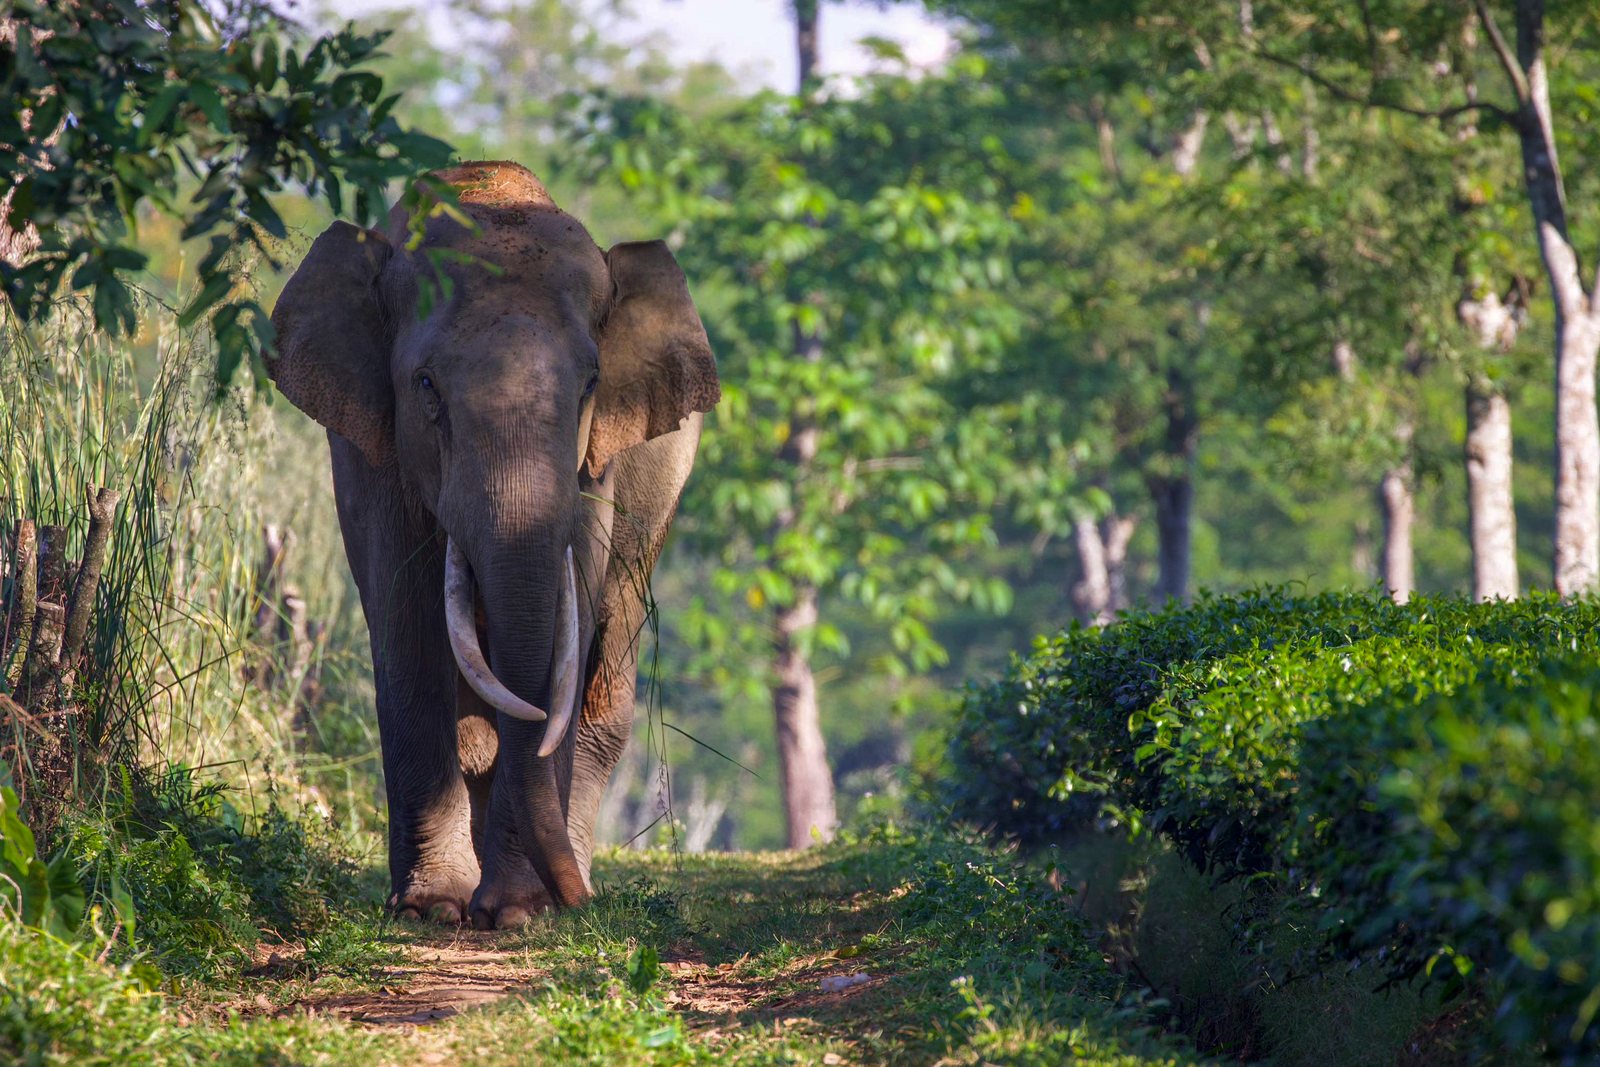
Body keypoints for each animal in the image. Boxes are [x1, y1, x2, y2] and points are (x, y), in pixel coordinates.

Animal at [267, 160, 719, 929]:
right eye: (425, 385)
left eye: (591, 383)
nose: (576, 902)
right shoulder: (371, 450)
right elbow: (407, 627)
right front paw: (430, 907)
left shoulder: (596, 465)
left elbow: (568, 628)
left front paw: (517, 912)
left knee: (603, 676)